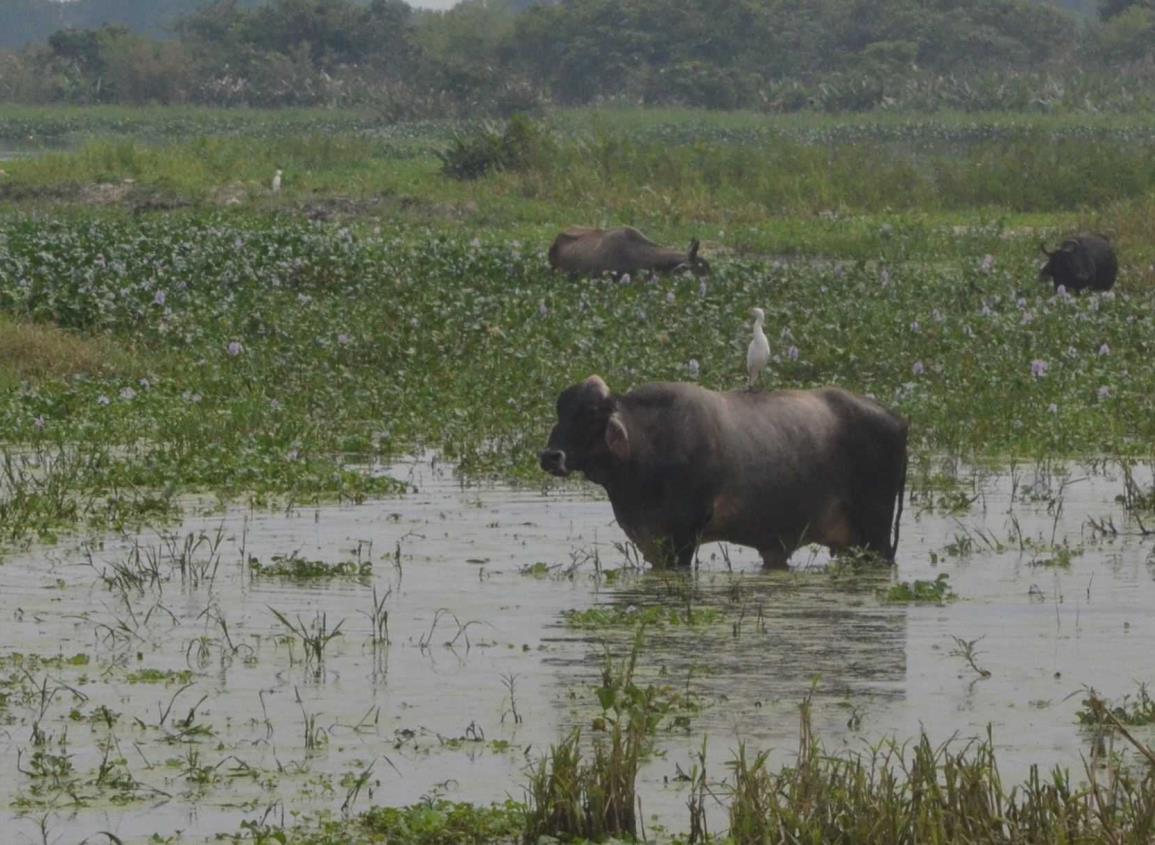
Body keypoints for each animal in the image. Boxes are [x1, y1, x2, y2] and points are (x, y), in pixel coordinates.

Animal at [535, 378, 905, 570]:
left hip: (876, 533)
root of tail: (895, 418)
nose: (551, 456)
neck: (645, 445)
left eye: (592, 414)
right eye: (561, 411)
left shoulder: (682, 539)